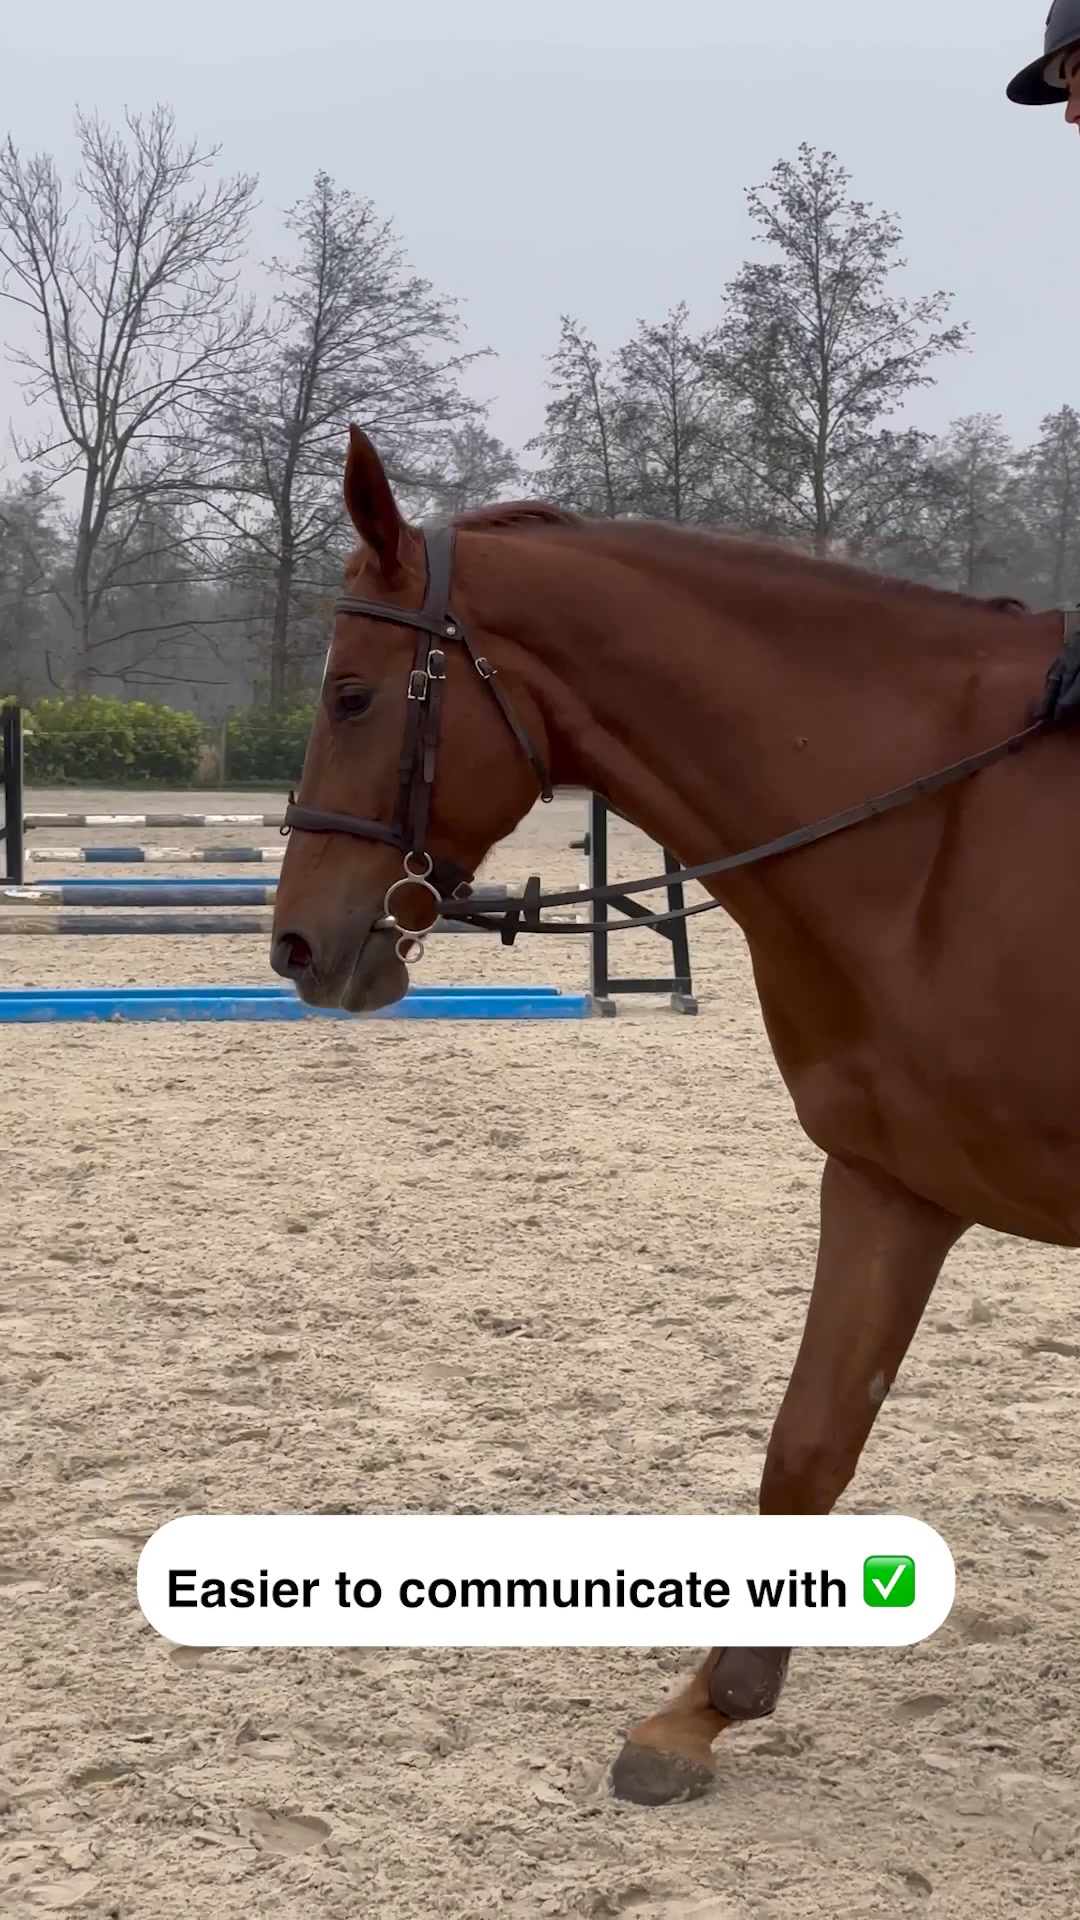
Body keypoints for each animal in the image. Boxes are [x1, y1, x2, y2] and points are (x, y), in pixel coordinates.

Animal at [270, 424, 1080, 1808]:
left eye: (355, 698)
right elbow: (808, 1438)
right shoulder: (890, 1181)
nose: (297, 946)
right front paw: (705, 1710)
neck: (946, 838)